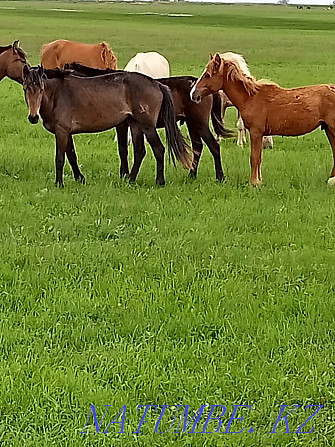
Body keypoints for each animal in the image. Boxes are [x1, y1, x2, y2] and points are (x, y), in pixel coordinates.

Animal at [22, 65, 192, 187]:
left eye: (41, 89)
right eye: (25, 89)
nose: (33, 117)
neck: (57, 94)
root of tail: (156, 83)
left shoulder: (62, 131)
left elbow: (60, 158)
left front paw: (59, 184)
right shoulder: (66, 133)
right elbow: (71, 155)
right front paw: (80, 178)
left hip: (147, 127)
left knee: (159, 150)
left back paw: (159, 182)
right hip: (135, 125)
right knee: (139, 152)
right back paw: (130, 179)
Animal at [64, 63, 235, 182]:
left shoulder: (122, 125)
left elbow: (122, 149)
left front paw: (124, 173)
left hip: (199, 123)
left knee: (213, 146)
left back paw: (219, 177)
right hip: (192, 124)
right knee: (197, 147)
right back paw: (191, 174)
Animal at [192, 52, 335, 186]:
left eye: (208, 75)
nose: (194, 94)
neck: (250, 97)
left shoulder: (256, 132)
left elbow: (254, 158)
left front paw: (254, 182)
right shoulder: (260, 134)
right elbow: (259, 158)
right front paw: (259, 181)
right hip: (328, 130)